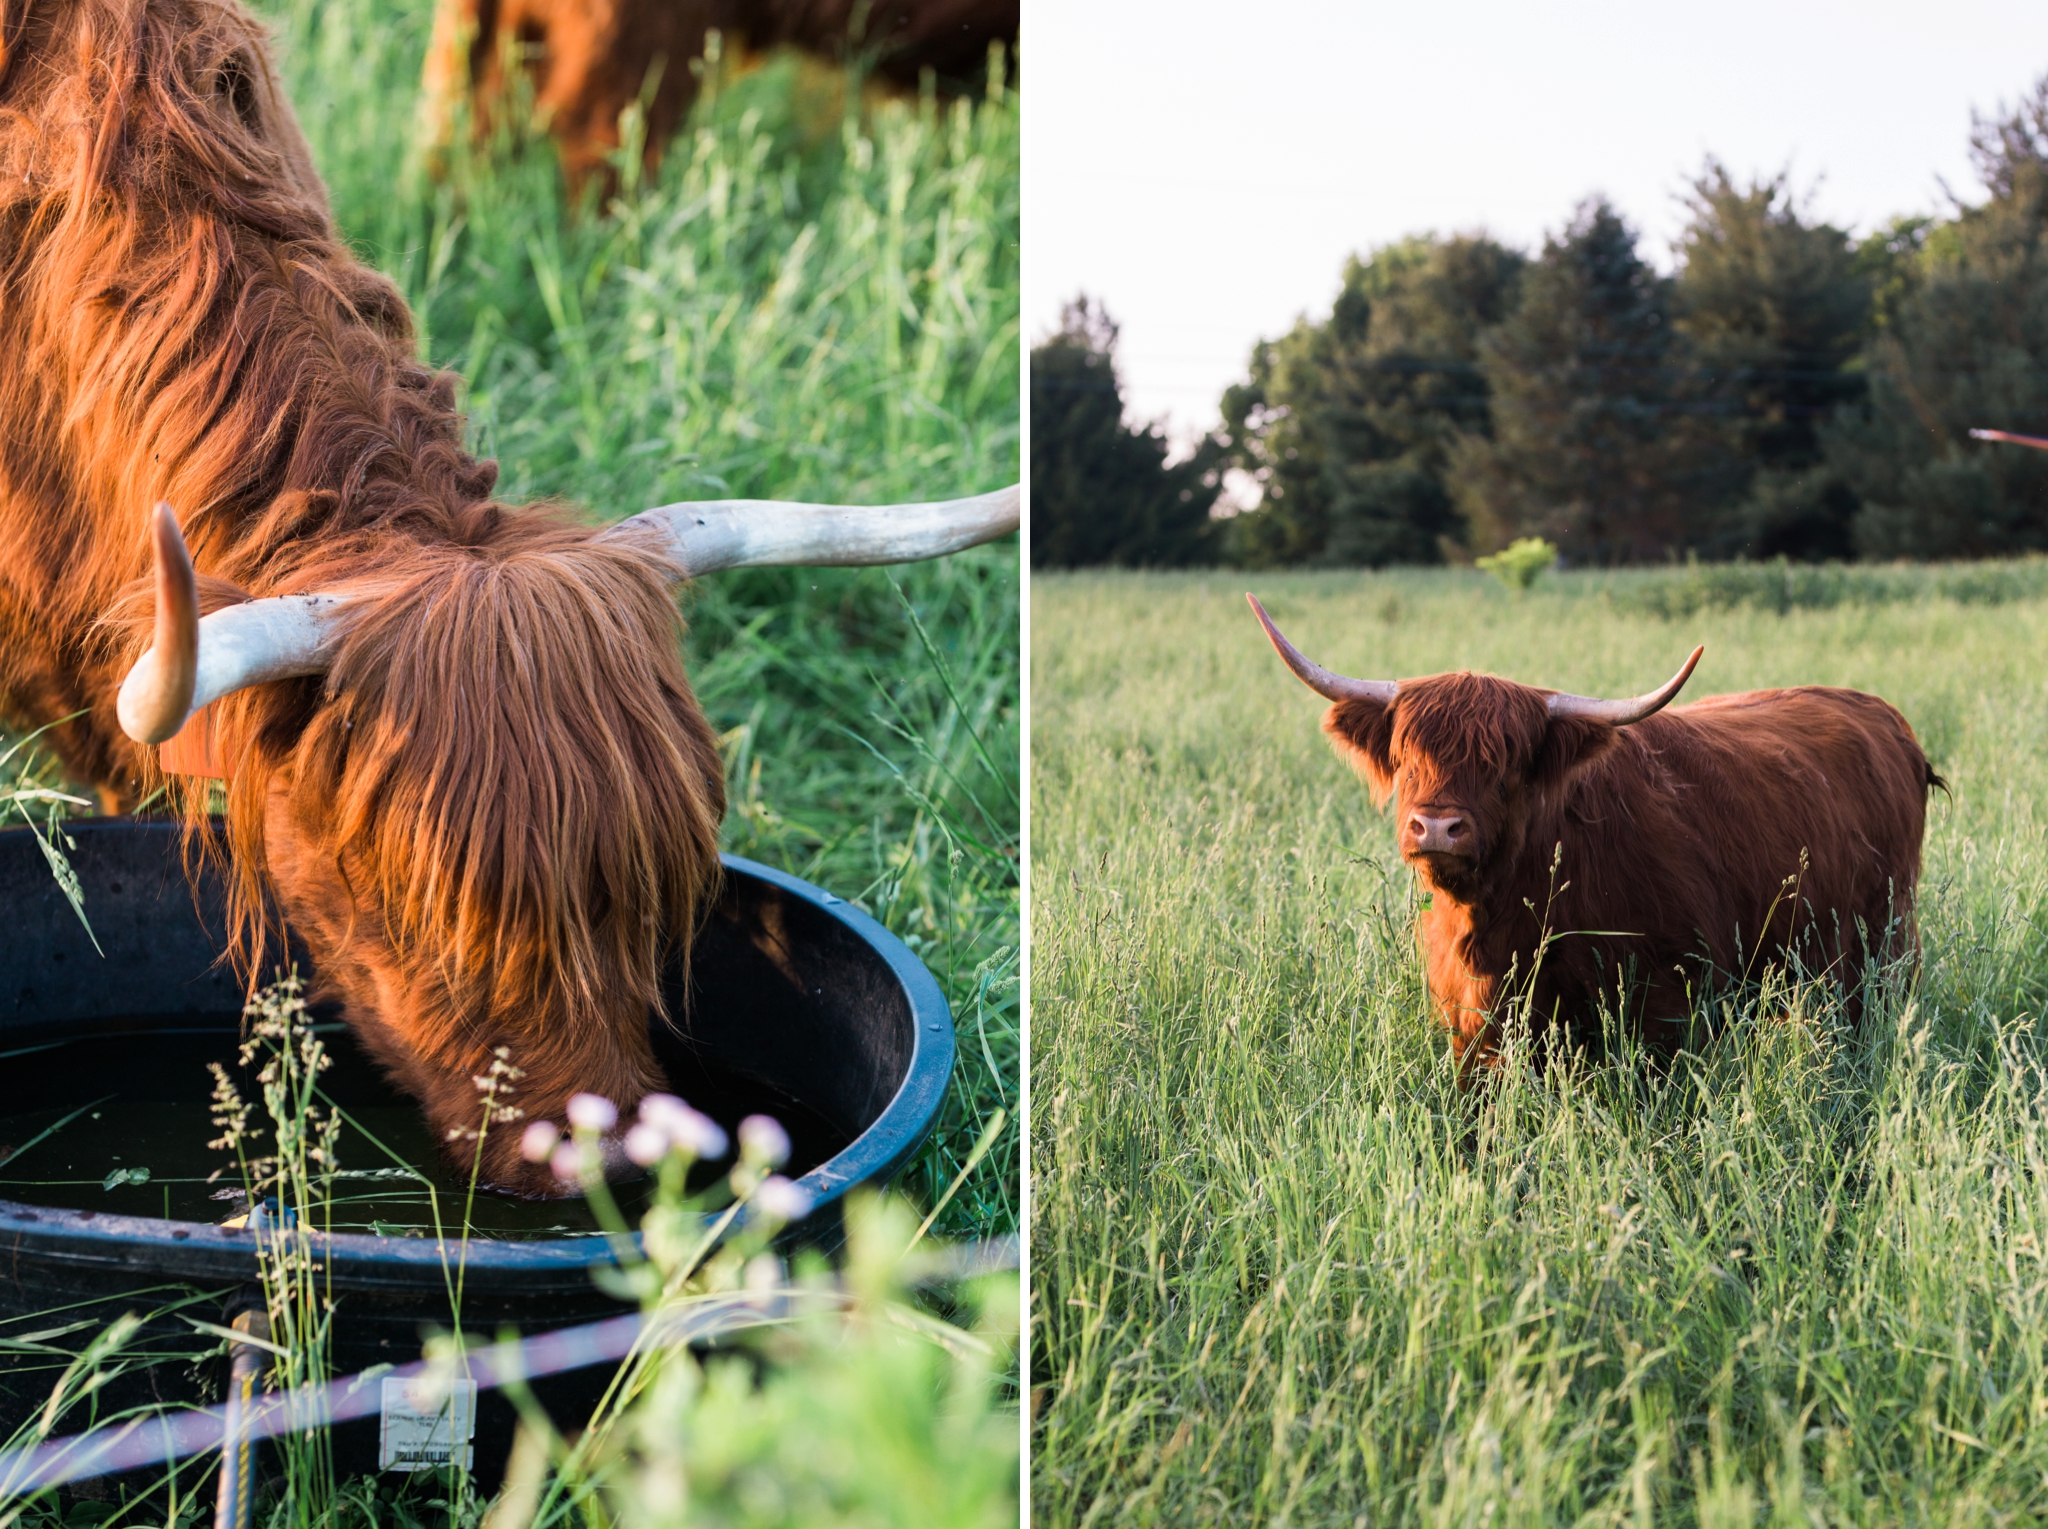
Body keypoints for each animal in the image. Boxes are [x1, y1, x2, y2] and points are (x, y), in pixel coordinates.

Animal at [1245, 593, 1933, 1072]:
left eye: (1505, 766)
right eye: (1407, 757)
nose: (1437, 826)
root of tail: (1881, 715)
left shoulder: (1667, 1006)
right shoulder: (1473, 1024)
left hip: (1882, 945)